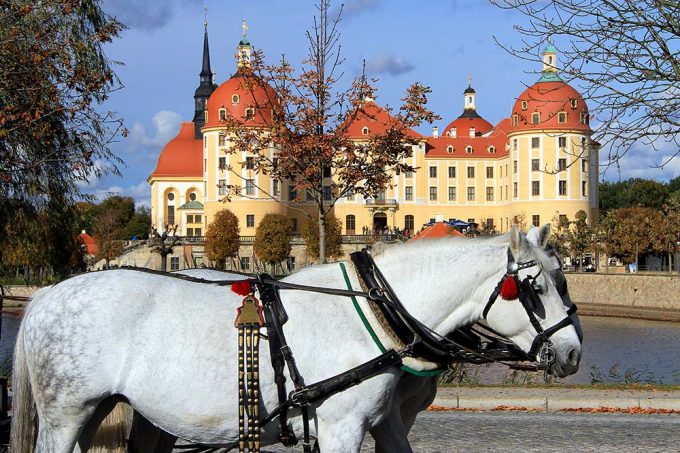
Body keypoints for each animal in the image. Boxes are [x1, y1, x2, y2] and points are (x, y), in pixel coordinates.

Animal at [10, 224, 580, 450]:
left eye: (564, 278)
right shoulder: (341, 427)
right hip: (65, 417)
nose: (574, 353)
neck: (374, 311)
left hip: (103, 411)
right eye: (535, 287)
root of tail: (46, 293)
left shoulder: (384, 421)